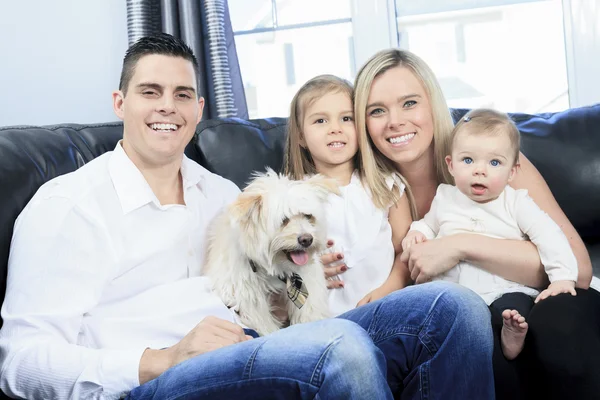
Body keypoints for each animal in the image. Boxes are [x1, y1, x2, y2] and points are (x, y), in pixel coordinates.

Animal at [205, 170, 338, 336]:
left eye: (308, 216)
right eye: (284, 220)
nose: (307, 239)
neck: (273, 268)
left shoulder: (308, 283)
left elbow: (310, 311)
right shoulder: (249, 299)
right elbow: (264, 324)